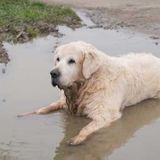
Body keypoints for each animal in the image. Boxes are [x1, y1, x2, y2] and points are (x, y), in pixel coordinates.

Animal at [19, 41, 160, 145]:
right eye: (58, 59)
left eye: (71, 61)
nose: (53, 73)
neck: (87, 83)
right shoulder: (64, 101)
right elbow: (44, 108)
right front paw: (26, 114)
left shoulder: (105, 113)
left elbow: (87, 127)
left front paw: (77, 138)